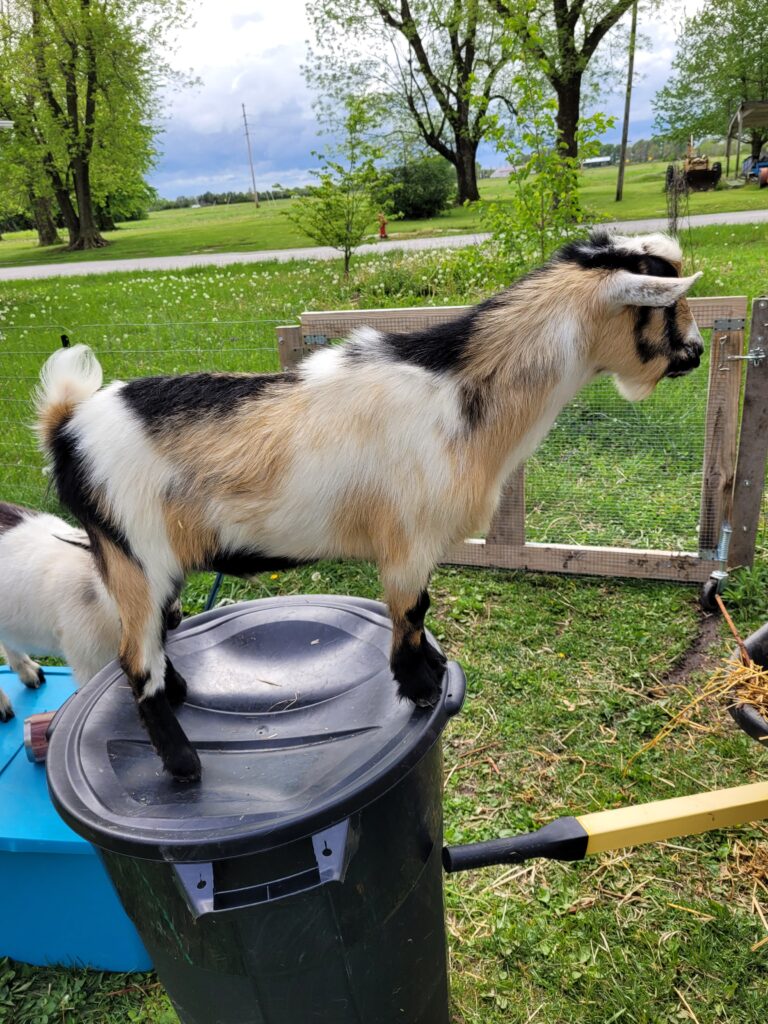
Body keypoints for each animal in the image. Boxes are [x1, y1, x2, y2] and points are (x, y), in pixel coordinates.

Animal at [35, 230, 704, 781]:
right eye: (666, 303)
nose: (696, 352)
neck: (460, 392)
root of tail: (66, 428)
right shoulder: (408, 541)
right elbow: (410, 612)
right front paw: (422, 688)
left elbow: (419, 611)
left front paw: (432, 673)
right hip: (136, 554)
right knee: (136, 660)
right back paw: (182, 764)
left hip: (148, 561)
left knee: (154, 638)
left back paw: (179, 696)